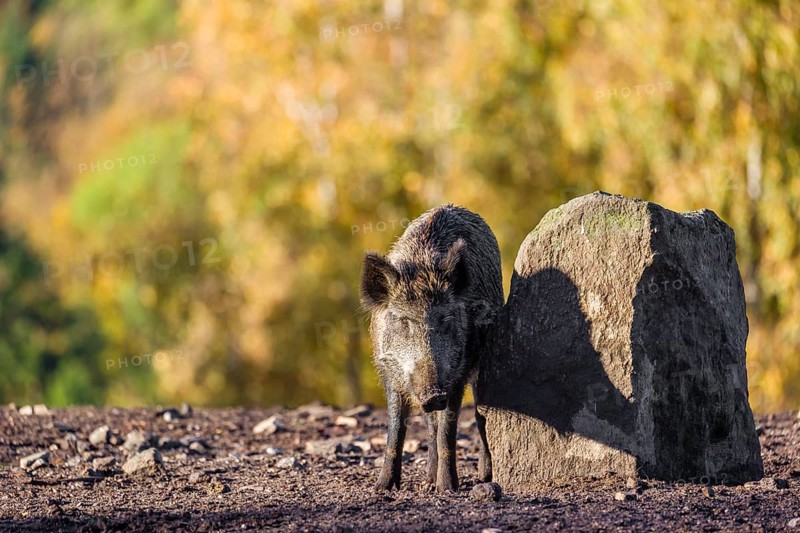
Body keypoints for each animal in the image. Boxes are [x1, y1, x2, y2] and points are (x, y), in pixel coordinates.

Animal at [360, 204, 504, 492]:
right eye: (403, 321)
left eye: (445, 319)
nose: (434, 394)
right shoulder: (389, 372)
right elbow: (396, 427)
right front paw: (383, 487)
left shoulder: (457, 372)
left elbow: (448, 428)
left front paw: (447, 488)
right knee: (430, 424)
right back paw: (427, 480)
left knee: (480, 416)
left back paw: (484, 477)